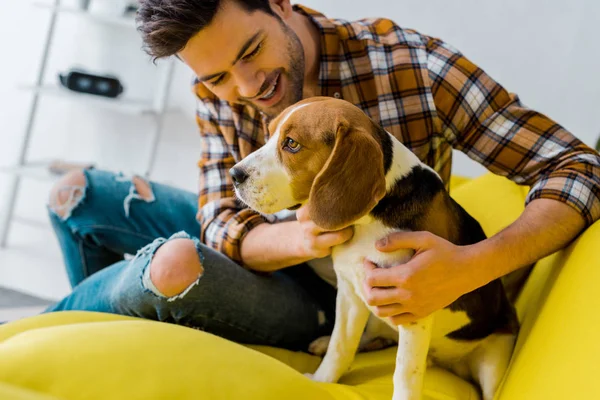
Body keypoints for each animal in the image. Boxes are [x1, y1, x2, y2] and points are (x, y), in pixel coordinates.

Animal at [229, 97, 516, 400]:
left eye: (292, 144)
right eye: (269, 133)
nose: (234, 174)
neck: (371, 220)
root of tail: (446, 362)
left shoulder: (414, 308)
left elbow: (405, 371)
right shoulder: (350, 290)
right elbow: (341, 345)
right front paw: (322, 380)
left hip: (493, 362)